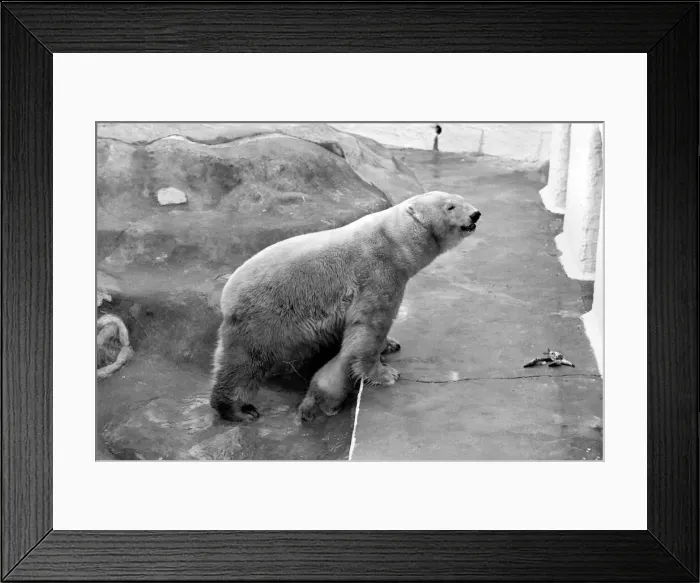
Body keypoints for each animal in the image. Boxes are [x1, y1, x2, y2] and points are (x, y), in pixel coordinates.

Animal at [210, 190, 481, 422]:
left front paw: (390, 344)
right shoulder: (377, 273)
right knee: (245, 362)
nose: (475, 214)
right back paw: (239, 410)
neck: (394, 239)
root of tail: (227, 293)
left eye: (461, 198)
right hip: (263, 315)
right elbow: (370, 323)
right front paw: (385, 374)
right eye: (450, 206)